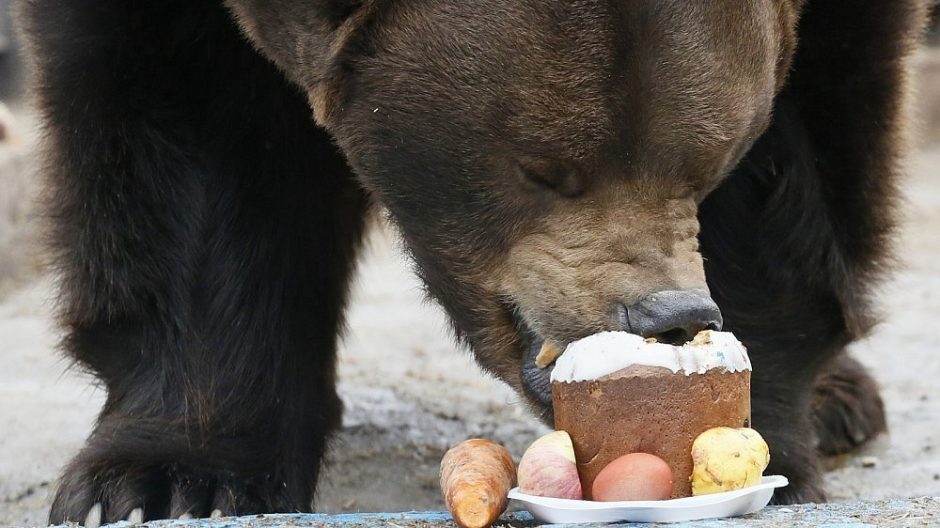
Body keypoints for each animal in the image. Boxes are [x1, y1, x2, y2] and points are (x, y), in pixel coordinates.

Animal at [18, 1, 928, 524]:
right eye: (545, 170)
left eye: (705, 162)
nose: (665, 316)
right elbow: (190, 132)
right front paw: (168, 481)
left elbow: (804, 148)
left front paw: (762, 436)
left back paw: (840, 401)